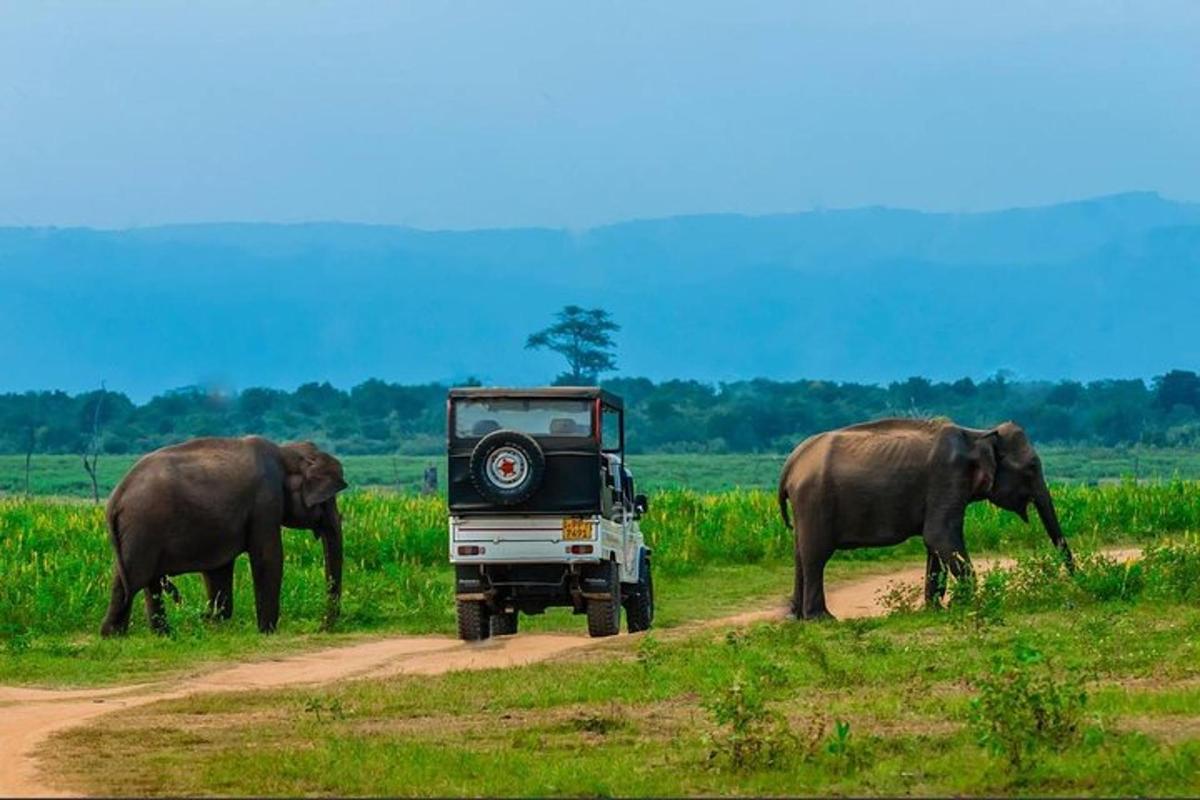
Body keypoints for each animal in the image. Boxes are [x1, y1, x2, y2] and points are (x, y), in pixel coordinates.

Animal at [99, 438, 348, 638]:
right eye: (328, 500)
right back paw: (124, 635)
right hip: (143, 528)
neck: (286, 452)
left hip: (135, 534)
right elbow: (268, 558)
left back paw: (137, 636)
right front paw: (267, 632)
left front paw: (218, 625)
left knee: (134, 581)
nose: (322, 627)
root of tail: (115, 499)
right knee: (135, 579)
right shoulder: (265, 503)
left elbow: (219, 570)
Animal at [777, 419, 1080, 618]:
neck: (978, 434)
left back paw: (796, 617)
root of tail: (791, 463)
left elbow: (934, 543)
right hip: (814, 500)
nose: (1077, 581)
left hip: (805, 505)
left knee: (800, 554)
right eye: (1031, 467)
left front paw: (934, 609)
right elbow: (939, 534)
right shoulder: (947, 476)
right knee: (816, 555)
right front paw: (964, 605)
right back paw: (821, 618)